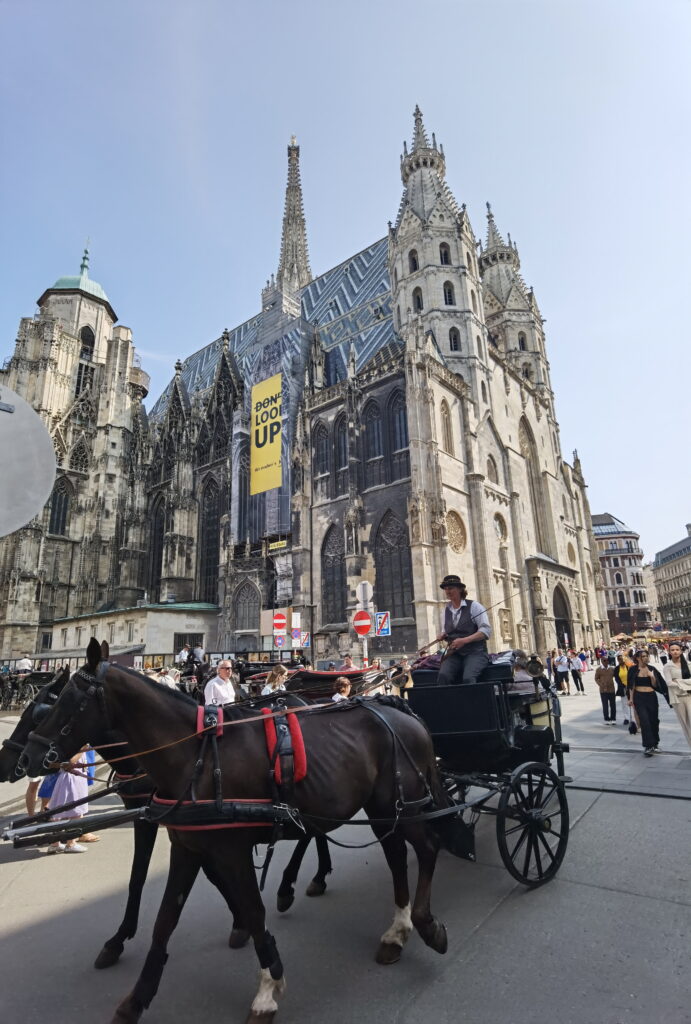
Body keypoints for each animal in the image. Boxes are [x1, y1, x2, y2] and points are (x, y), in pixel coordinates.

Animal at [21, 634, 448, 1019]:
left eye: (63, 703)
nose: (27, 758)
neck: (195, 755)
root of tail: (402, 710)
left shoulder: (230, 850)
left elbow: (252, 910)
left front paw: (268, 989)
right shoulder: (188, 846)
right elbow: (165, 920)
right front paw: (135, 1000)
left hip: (401, 803)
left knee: (426, 848)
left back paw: (424, 925)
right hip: (379, 808)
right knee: (394, 855)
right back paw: (393, 930)